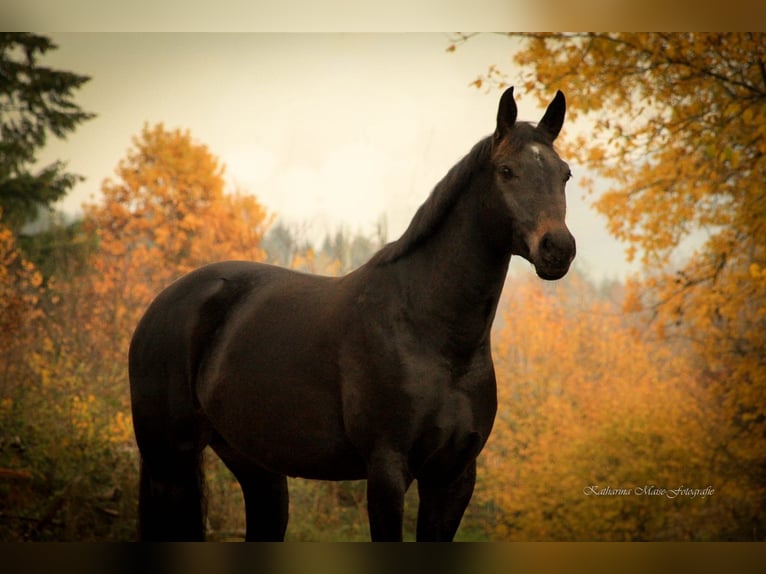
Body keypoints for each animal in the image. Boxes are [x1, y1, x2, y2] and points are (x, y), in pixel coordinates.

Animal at [128, 86, 576, 541]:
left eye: (565, 174)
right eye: (506, 170)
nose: (558, 249)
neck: (431, 333)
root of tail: (163, 303)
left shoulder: (453, 477)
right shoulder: (387, 470)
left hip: (256, 465)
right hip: (169, 463)